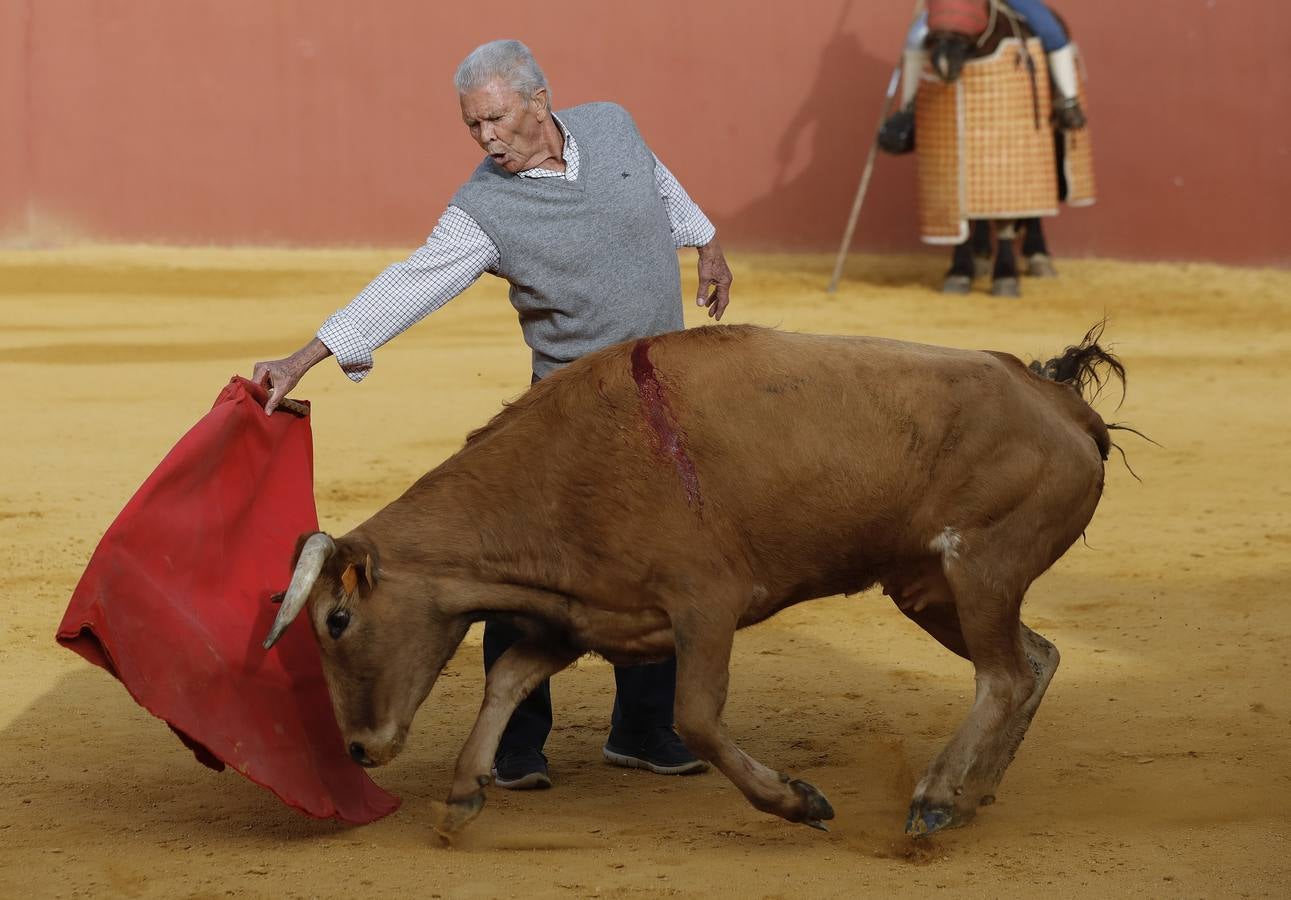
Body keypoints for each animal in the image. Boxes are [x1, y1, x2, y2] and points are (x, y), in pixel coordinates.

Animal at [259, 322, 1120, 836]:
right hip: (929, 588)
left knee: (1003, 675)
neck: (560, 472)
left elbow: (698, 717)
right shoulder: (587, 617)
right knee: (1034, 659)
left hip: (979, 567)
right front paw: (466, 790)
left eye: (336, 620)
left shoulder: (704, 605)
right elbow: (504, 679)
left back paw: (937, 797)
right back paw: (973, 793)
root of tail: (1058, 402)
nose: (360, 749)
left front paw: (796, 800)